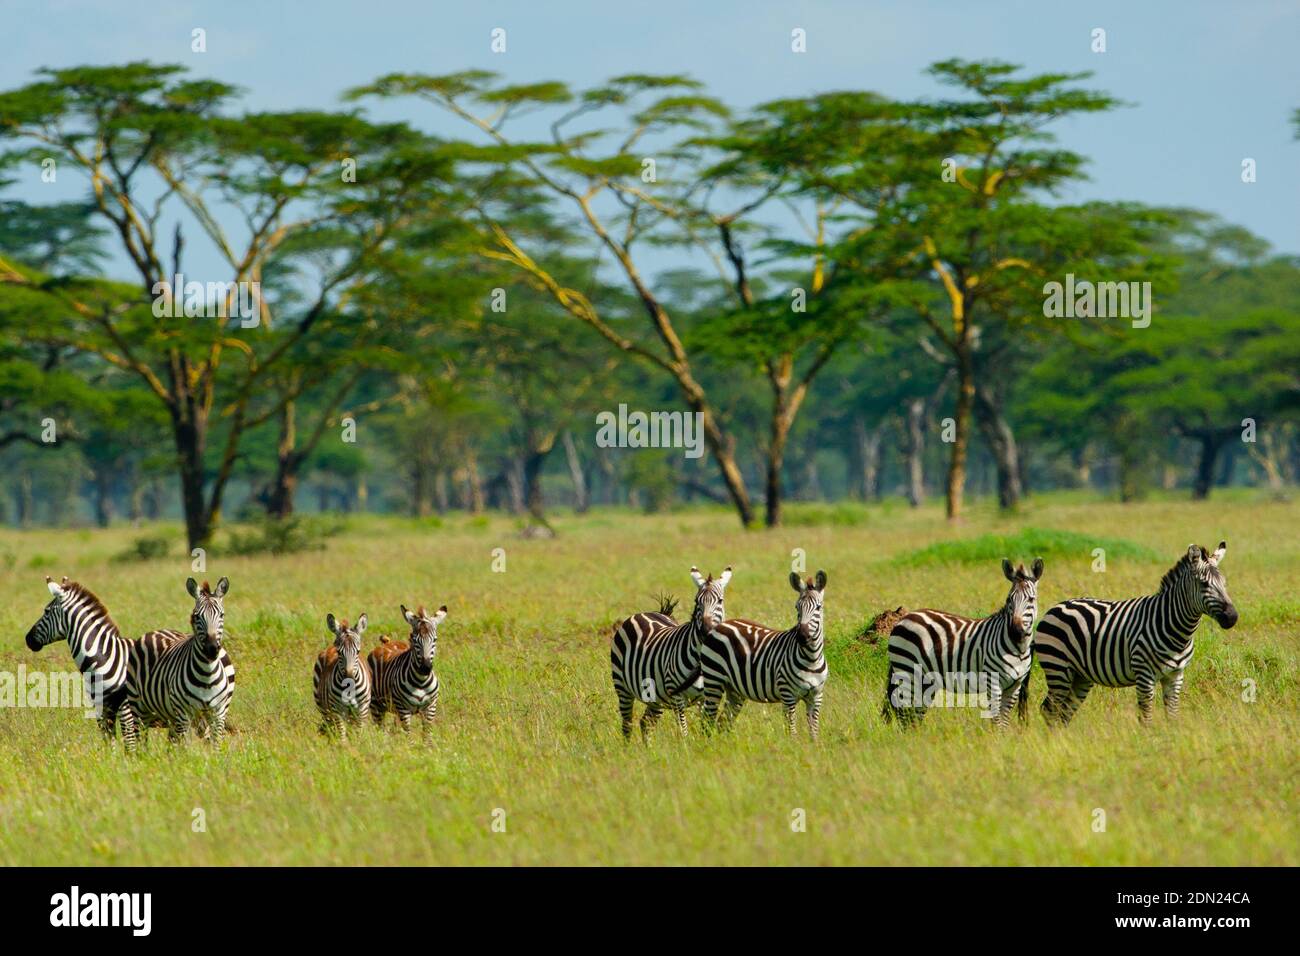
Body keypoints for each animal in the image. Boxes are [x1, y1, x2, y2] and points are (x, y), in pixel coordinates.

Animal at [120, 574, 236, 749]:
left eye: (222, 615)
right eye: (197, 616)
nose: (211, 649)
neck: (207, 675)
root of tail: (155, 631)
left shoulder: (219, 712)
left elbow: (215, 745)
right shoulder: (183, 713)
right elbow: (186, 748)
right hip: (139, 707)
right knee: (142, 740)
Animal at [611, 564, 733, 743]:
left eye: (720, 601)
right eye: (696, 601)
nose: (705, 630)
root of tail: (646, 613)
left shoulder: (706, 696)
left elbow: (704, 725)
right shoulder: (676, 697)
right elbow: (684, 731)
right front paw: (686, 748)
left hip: (655, 697)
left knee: (645, 723)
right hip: (623, 688)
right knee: (627, 726)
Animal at [702, 567, 832, 738]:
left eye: (818, 607)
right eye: (797, 607)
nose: (802, 637)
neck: (811, 659)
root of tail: (720, 625)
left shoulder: (816, 697)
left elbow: (814, 732)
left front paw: (814, 744)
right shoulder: (788, 695)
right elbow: (792, 731)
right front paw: (794, 745)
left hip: (734, 690)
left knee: (722, 722)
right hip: (713, 680)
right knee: (707, 720)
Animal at [878, 556, 1040, 728]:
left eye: (1031, 599)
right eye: (1009, 600)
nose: (1015, 632)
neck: (1018, 649)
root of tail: (904, 618)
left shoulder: (1015, 686)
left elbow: (1004, 721)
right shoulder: (993, 681)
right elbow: (996, 720)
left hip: (924, 679)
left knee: (913, 714)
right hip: (908, 671)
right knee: (904, 713)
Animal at [1024, 538, 1237, 723]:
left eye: (1225, 583)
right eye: (1204, 584)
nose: (1233, 617)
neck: (1176, 629)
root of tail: (1055, 607)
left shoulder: (1176, 676)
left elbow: (1172, 715)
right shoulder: (1144, 674)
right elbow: (1147, 716)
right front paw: (1151, 741)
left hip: (1080, 676)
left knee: (1064, 712)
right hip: (1058, 668)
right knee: (1049, 710)